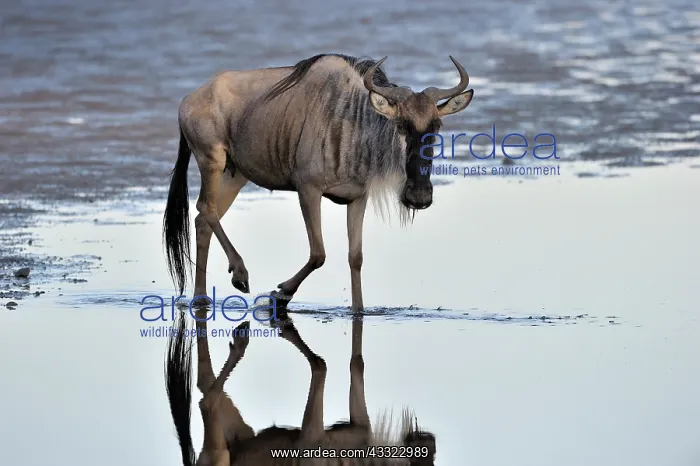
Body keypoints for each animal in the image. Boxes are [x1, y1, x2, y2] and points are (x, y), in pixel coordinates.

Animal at [163, 54, 474, 311]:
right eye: (401, 125)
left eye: (436, 126)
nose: (418, 196)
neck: (355, 125)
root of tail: (188, 100)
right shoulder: (308, 189)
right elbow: (318, 253)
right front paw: (280, 294)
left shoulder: (357, 198)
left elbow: (355, 257)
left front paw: (358, 311)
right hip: (211, 160)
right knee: (205, 208)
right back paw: (240, 274)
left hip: (234, 175)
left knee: (204, 219)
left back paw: (201, 298)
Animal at [165, 309, 437, 465]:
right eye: (428, 454)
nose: (430, 438)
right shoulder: (310, 437)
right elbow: (321, 365)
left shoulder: (359, 426)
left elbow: (355, 364)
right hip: (220, 454)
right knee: (205, 401)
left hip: (237, 436)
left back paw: (241, 337)